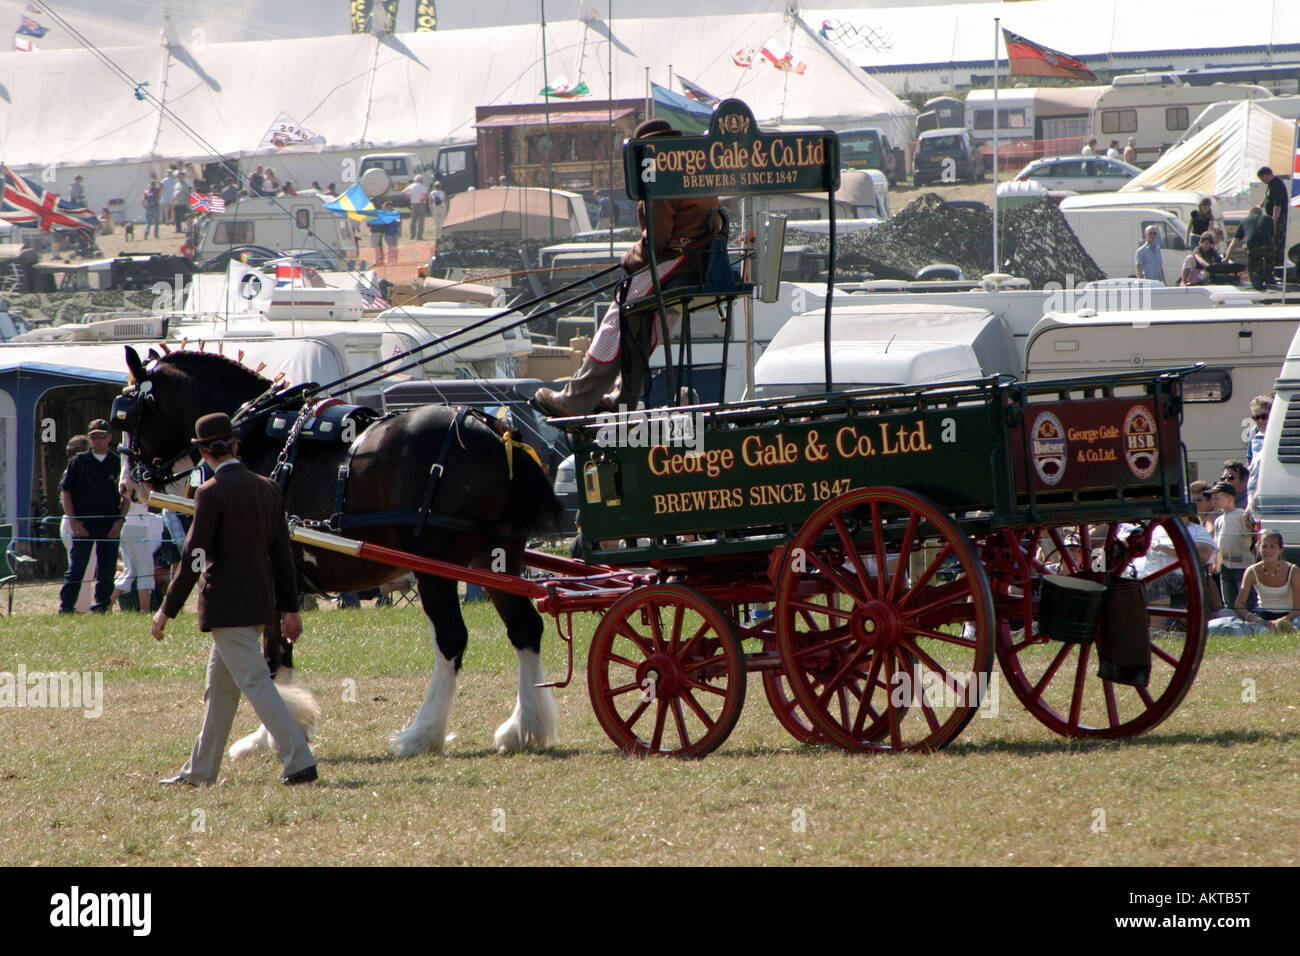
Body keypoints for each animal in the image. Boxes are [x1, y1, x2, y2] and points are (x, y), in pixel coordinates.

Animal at [120, 348, 564, 759]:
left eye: (124, 415)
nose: (128, 485)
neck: (256, 437)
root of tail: (493, 430)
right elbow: (281, 649)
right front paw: (283, 729)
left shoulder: (268, 572)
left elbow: (272, 654)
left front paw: (270, 735)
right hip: (495, 557)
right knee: (525, 629)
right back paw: (524, 728)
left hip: (436, 569)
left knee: (452, 639)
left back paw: (422, 735)